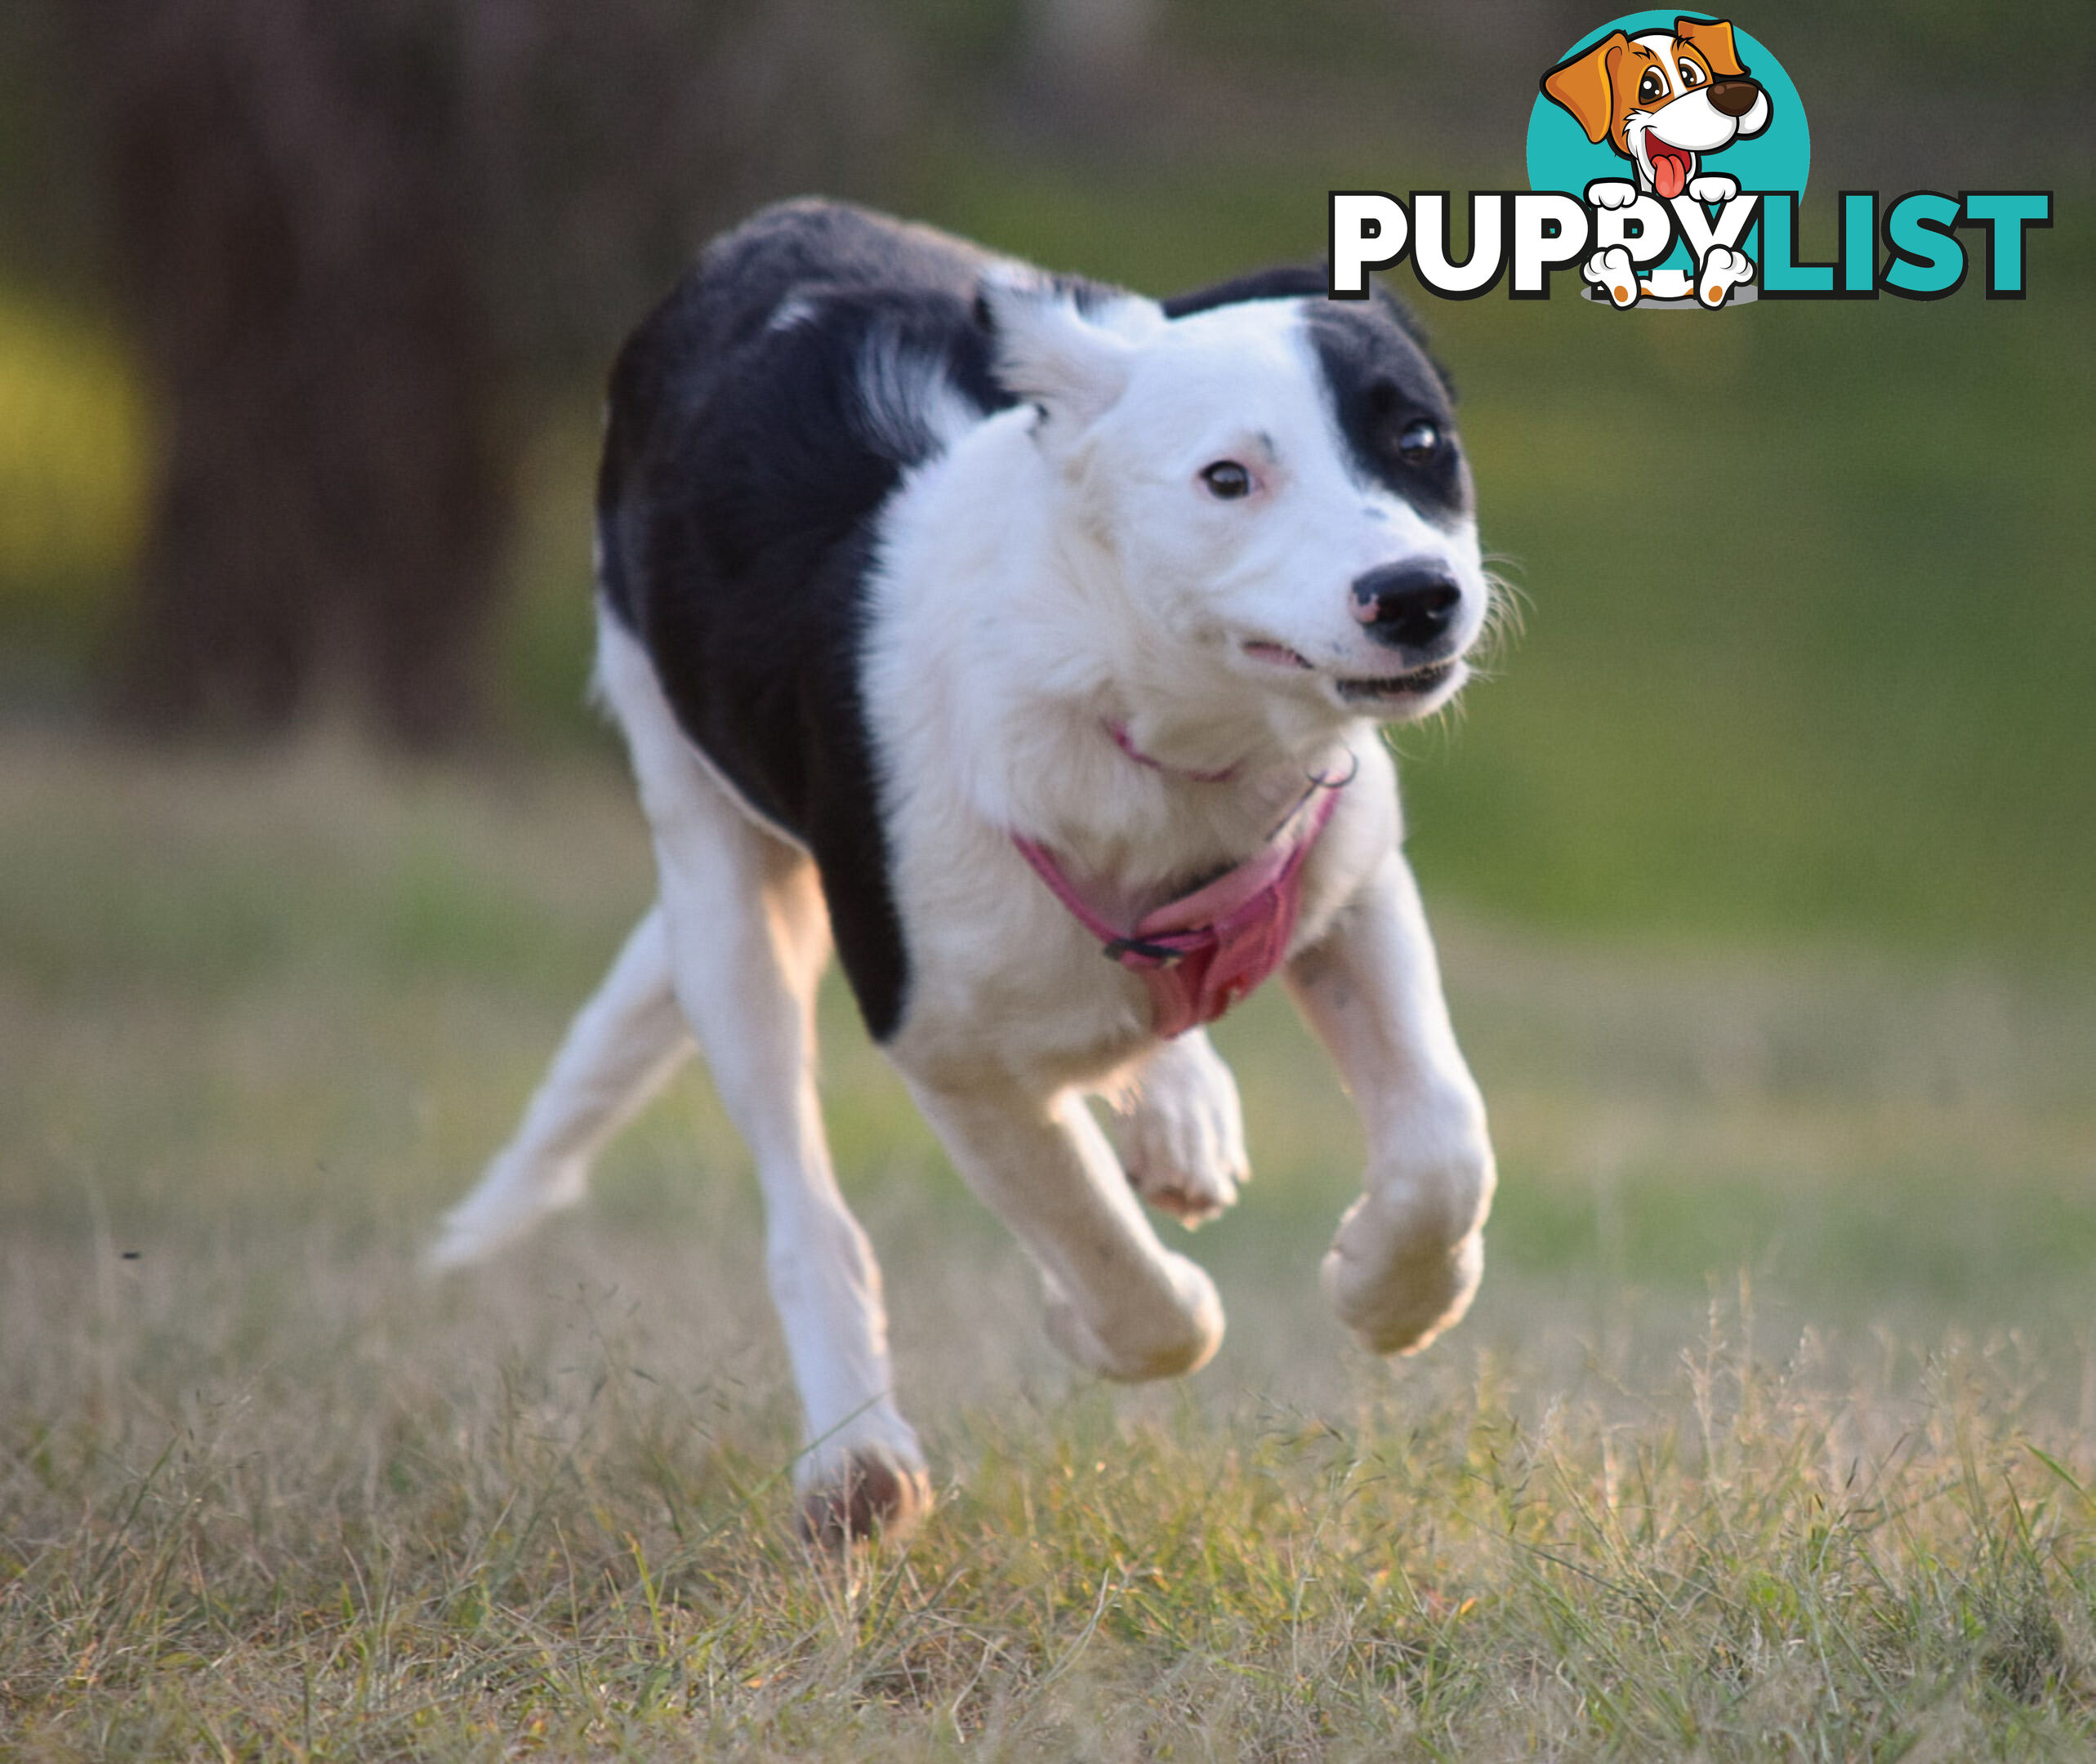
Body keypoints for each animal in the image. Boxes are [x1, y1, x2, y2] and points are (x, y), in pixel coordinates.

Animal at [430, 198, 1509, 1533]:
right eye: (1227, 479)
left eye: (1417, 440)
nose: (1417, 596)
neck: (1142, 715)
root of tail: (769, 228)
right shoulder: (944, 1047)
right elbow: (1106, 1253)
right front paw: (1101, 1322)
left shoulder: (1344, 878)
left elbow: (1444, 1144)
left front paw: (1388, 1295)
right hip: (708, 862)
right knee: (803, 1197)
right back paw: (855, 1458)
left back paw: (1179, 1112)